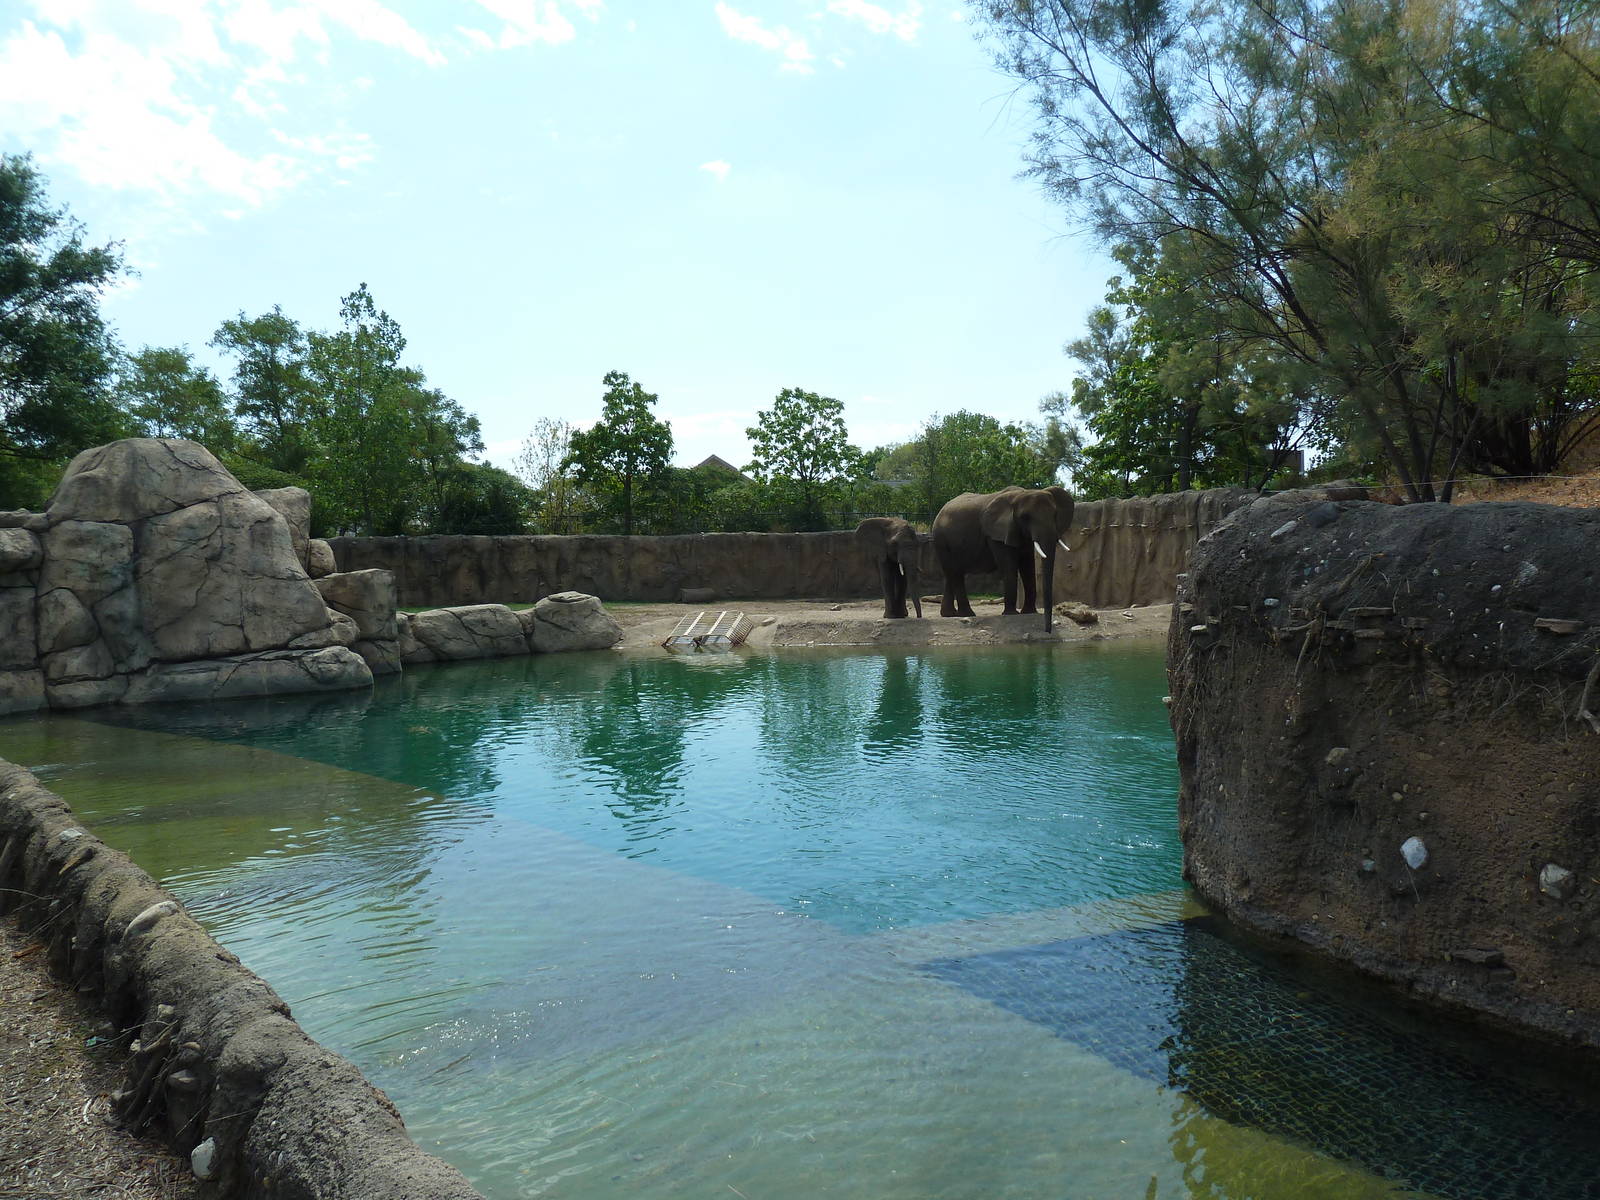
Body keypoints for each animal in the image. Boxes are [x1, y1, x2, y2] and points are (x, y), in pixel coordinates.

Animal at [931, 485, 1075, 632]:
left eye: (1055, 514)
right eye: (1025, 517)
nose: (1047, 631)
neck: (1020, 494)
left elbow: (1028, 565)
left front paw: (1029, 612)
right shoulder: (996, 533)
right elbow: (1009, 565)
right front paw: (1011, 614)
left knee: (953, 573)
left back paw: (949, 614)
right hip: (941, 541)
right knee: (954, 573)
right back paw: (967, 614)